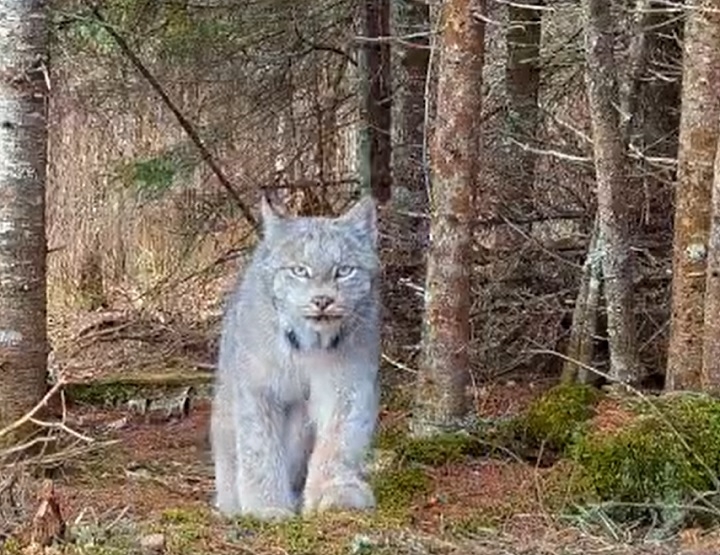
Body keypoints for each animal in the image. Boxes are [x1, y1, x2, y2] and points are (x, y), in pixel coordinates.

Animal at [210, 194, 381, 521]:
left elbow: (339, 439)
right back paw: (232, 504)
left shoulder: (349, 384)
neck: (309, 346)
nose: (322, 301)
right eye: (300, 271)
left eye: (344, 271)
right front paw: (266, 506)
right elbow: (259, 447)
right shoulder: (258, 388)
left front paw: (332, 493)